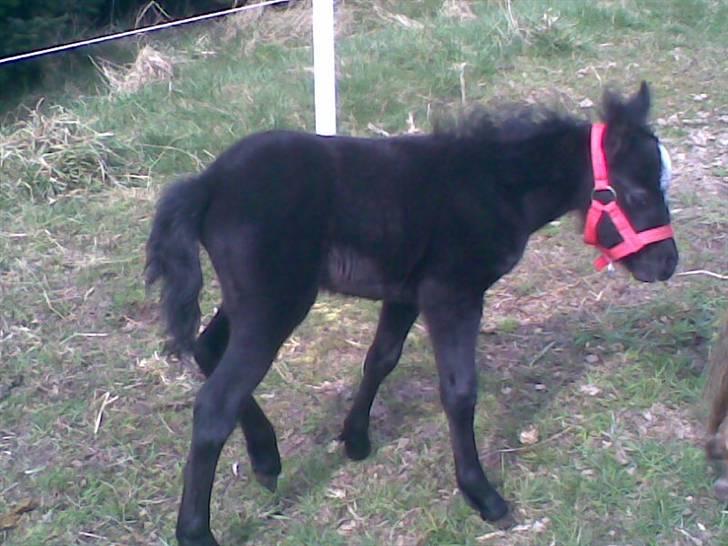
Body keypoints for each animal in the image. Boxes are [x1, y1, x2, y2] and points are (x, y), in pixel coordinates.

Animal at [146, 82, 676, 544]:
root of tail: (208, 183)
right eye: (636, 193)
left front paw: (355, 440)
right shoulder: (452, 295)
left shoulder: (404, 294)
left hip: (252, 301)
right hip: (274, 306)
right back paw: (197, 531)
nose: (666, 264)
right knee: (214, 405)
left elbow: (381, 359)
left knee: (206, 346)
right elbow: (459, 391)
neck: (494, 186)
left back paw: (265, 457)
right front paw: (482, 495)